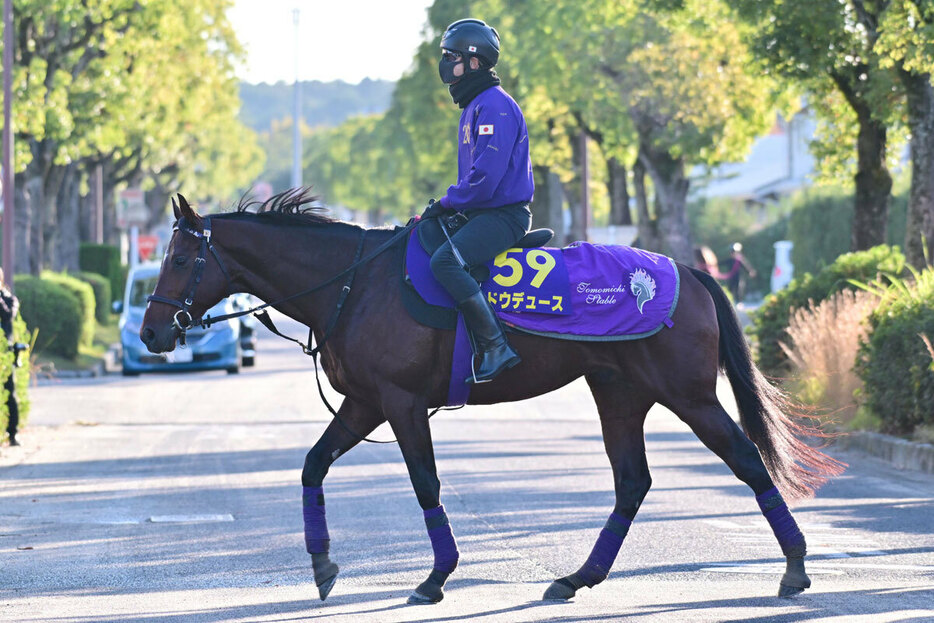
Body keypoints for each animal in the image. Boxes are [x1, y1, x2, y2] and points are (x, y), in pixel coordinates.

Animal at [141, 193, 848, 608]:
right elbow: (313, 465)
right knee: (631, 482)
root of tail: (688, 271)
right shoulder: (364, 404)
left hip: (689, 396)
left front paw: (436, 577)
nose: (151, 333)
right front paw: (321, 563)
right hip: (619, 395)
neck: (354, 282)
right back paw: (577, 578)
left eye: (177, 258)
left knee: (747, 461)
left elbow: (426, 483)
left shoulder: (399, 403)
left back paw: (794, 569)